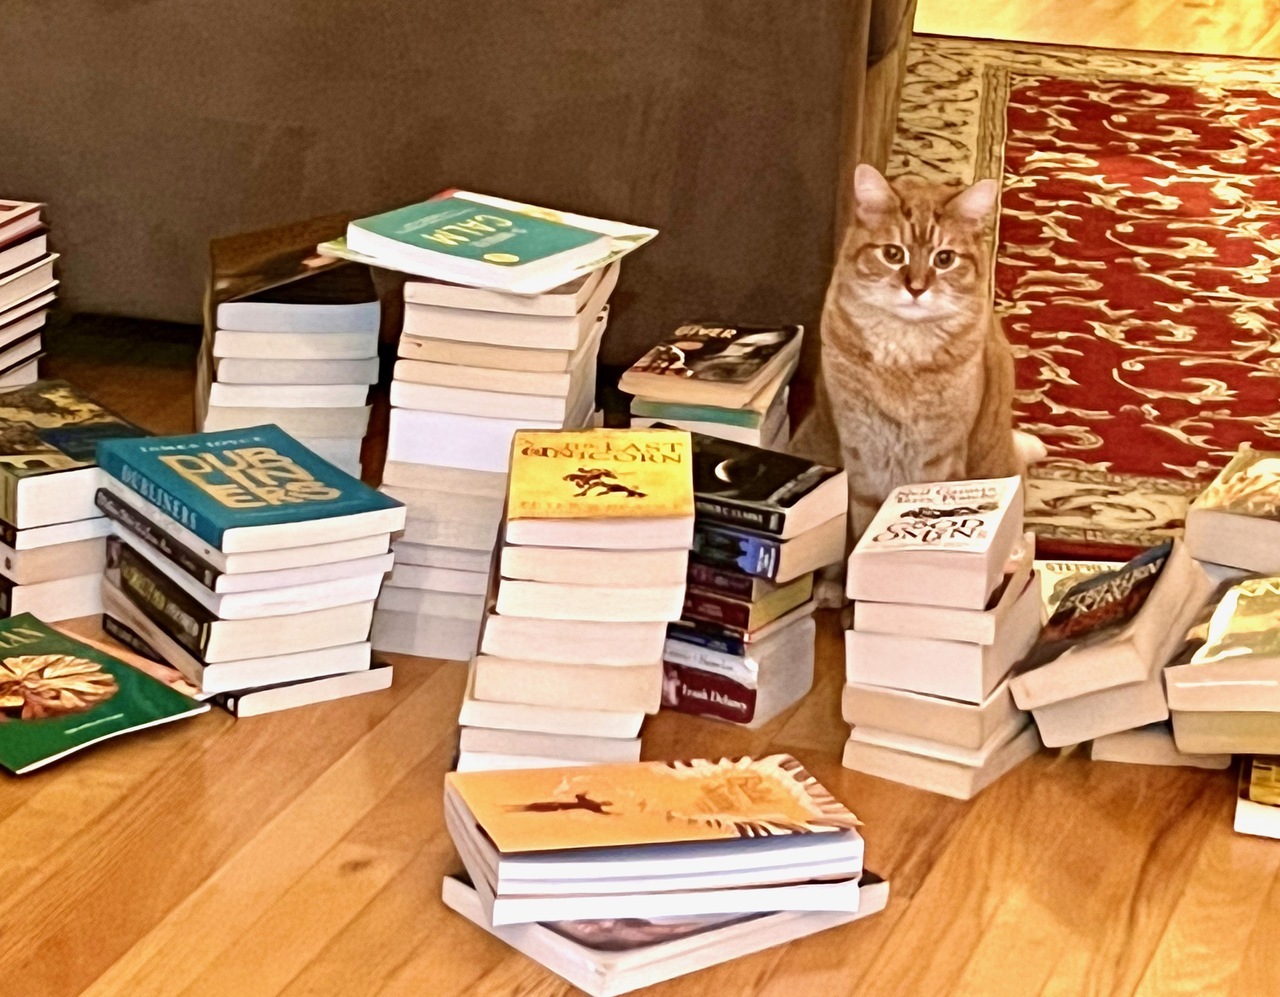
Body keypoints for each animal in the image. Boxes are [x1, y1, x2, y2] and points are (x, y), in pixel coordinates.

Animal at [793, 167, 1013, 545]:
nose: (916, 287)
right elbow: (864, 518)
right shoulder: (861, 452)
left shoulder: (939, 456)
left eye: (944, 259)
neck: (902, 354)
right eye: (893, 254)